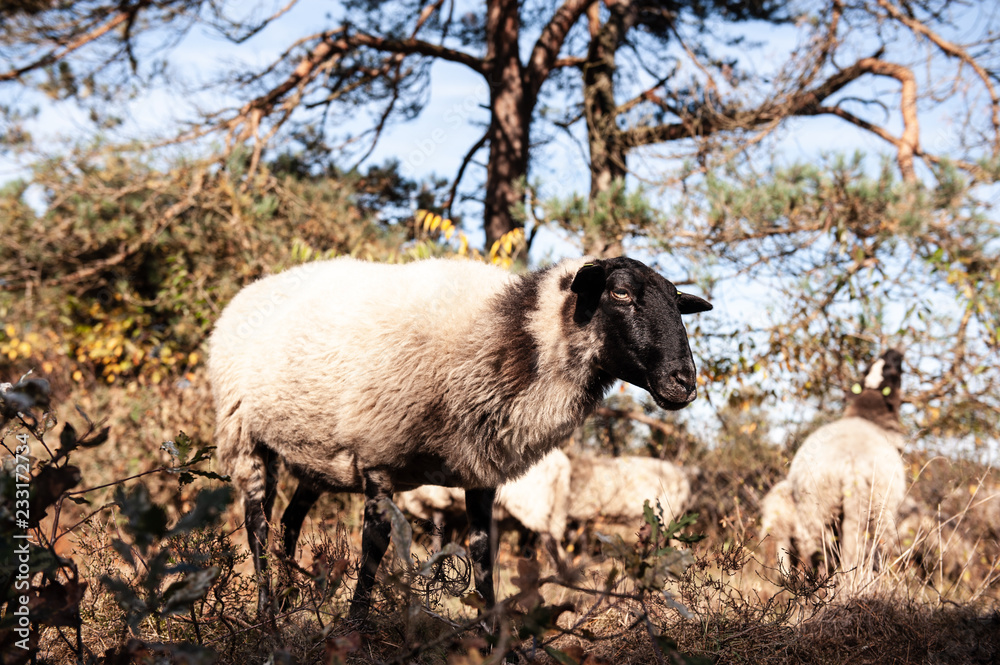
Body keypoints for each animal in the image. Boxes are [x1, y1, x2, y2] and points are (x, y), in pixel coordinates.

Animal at [207, 255, 712, 620]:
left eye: (678, 304)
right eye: (620, 292)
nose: (684, 381)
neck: (512, 337)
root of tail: (252, 289)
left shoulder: (481, 470)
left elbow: (484, 556)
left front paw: (493, 641)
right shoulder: (378, 458)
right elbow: (373, 546)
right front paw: (354, 629)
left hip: (316, 457)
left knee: (291, 521)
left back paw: (290, 602)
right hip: (246, 435)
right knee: (258, 523)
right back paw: (267, 615)